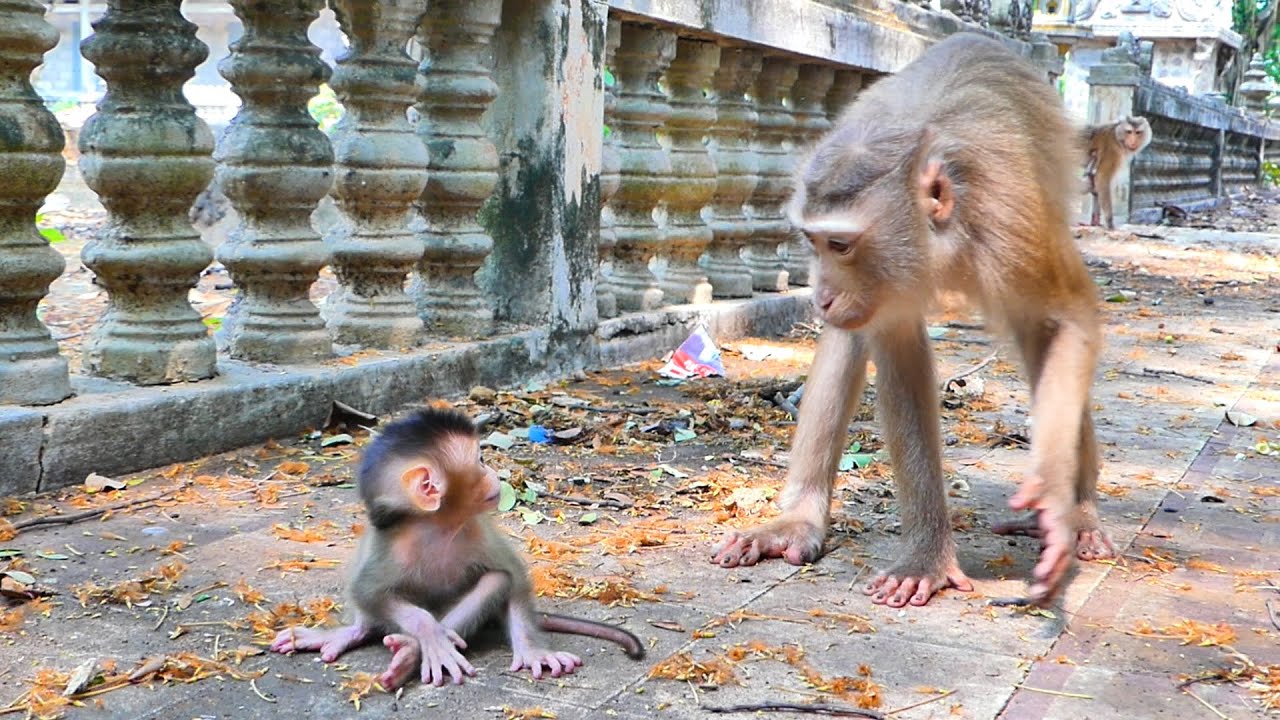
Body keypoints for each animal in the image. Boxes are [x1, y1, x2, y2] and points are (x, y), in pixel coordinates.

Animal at [270, 408, 644, 689]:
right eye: (479, 460)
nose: (495, 473)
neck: (438, 525)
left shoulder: (478, 530)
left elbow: (513, 578)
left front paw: (534, 652)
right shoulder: (390, 545)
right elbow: (368, 591)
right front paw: (427, 633)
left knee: (495, 581)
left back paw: (407, 653)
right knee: (373, 618)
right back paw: (367, 636)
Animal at [711, 33, 1115, 609]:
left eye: (840, 245)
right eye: (812, 242)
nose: (822, 295)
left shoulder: (1012, 226)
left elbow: (1074, 318)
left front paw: (1054, 504)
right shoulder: (886, 281)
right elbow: (897, 356)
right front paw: (927, 558)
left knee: (1043, 341)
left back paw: (1080, 514)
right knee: (851, 337)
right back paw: (798, 521)